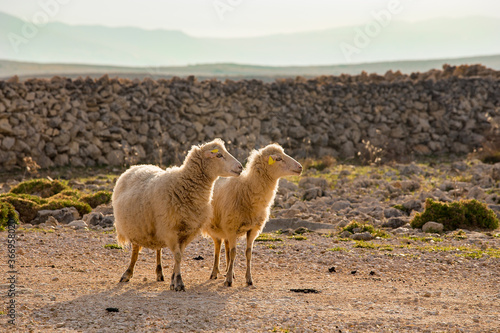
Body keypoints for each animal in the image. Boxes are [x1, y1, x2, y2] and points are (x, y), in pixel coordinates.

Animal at [111, 139, 242, 290]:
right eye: (219, 155)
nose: (240, 167)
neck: (182, 184)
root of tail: (136, 166)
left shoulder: (187, 232)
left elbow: (179, 255)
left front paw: (173, 280)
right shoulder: (170, 230)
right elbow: (178, 256)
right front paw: (178, 282)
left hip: (155, 227)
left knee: (158, 249)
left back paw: (159, 273)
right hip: (135, 227)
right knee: (135, 250)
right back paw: (127, 273)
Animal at [201, 143, 302, 286]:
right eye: (278, 158)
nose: (300, 167)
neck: (247, 189)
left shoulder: (252, 229)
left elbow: (248, 253)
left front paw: (248, 278)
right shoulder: (232, 227)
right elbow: (234, 252)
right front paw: (228, 280)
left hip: (225, 226)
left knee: (226, 246)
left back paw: (229, 271)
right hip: (215, 227)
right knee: (218, 247)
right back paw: (215, 273)